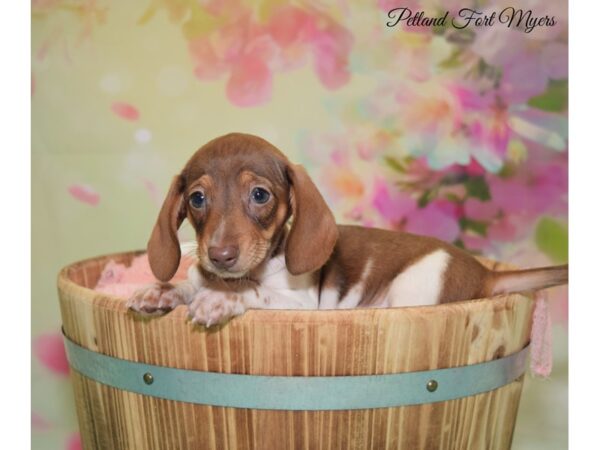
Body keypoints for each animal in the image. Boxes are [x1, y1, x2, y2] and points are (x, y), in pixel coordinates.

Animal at [126, 132, 568, 326]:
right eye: (197, 199)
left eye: (260, 195)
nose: (219, 256)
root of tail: (485, 273)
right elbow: (189, 286)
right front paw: (163, 291)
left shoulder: (300, 305)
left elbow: (254, 294)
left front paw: (221, 299)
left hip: (413, 291)